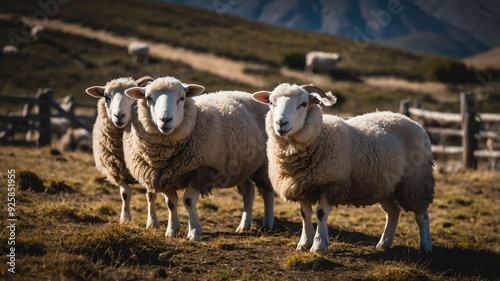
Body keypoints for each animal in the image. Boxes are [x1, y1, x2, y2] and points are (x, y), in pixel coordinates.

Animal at [84, 75, 158, 228]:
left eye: (131, 98)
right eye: (106, 96)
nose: (119, 115)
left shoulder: (149, 171)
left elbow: (151, 195)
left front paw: (152, 222)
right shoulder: (117, 169)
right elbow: (125, 194)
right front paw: (125, 219)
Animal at [123, 76, 276, 241]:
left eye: (182, 98)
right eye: (149, 98)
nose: (165, 120)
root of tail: (246, 94)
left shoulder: (201, 171)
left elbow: (188, 201)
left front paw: (195, 232)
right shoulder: (165, 177)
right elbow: (171, 203)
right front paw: (172, 229)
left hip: (264, 165)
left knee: (267, 191)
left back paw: (268, 224)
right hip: (240, 167)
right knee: (248, 191)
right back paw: (244, 225)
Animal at [252, 82, 436, 252]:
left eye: (303, 104)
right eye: (271, 103)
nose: (281, 123)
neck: (320, 137)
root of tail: (411, 120)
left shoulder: (332, 183)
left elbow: (320, 213)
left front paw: (318, 245)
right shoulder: (301, 186)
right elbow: (305, 215)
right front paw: (304, 244)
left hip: (416, 181)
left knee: (422, 215)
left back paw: (425, 246)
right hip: (385, 185)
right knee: (393, 212)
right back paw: (383, 243)